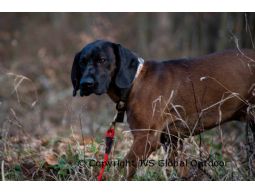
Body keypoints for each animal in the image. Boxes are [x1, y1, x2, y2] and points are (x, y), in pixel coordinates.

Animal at [70, 39, 255, 179]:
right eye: (82, 62)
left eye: (102, 59)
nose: (85, 84)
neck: (135, 82)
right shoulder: (172, 141)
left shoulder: (145, 139)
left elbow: (121, 170)